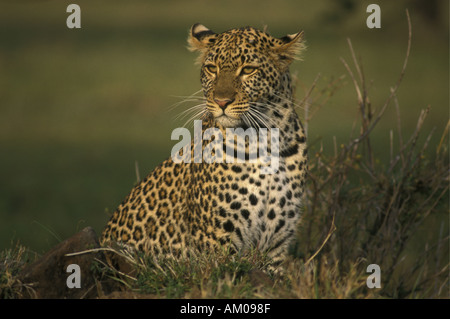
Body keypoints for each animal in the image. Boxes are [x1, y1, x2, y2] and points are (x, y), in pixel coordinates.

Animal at [100, 23, 308, 270]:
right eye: (211, 68)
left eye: (248, 69)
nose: (221, 101)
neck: (264, 140)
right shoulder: (217, 239)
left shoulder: (277, 243)